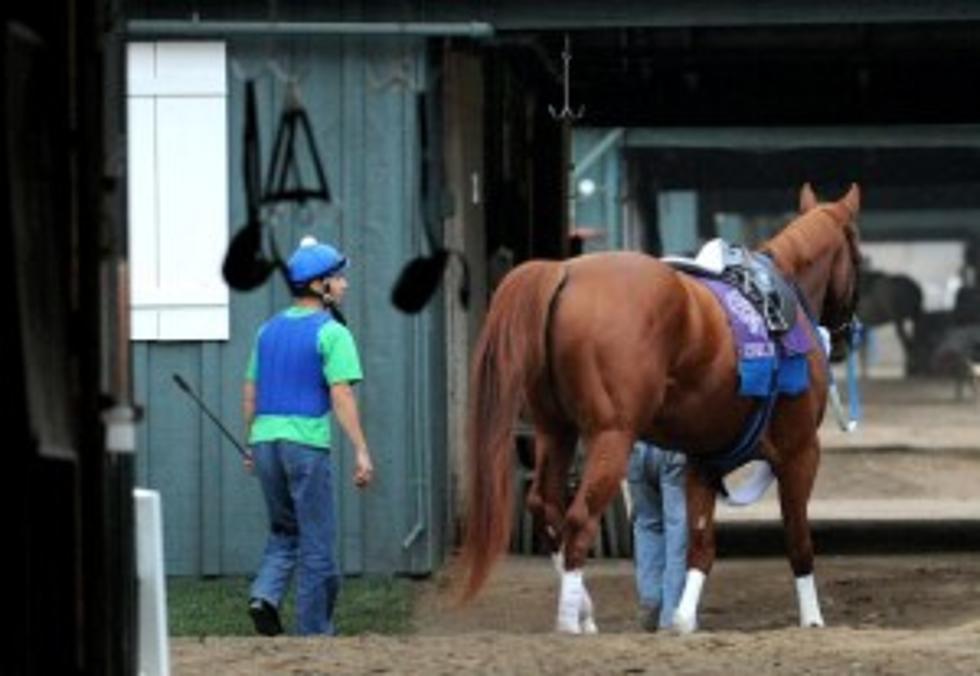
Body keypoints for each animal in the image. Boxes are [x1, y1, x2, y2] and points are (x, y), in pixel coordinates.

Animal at [464, 182, 860, 632]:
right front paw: (812, 620)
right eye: (857, 251)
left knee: (547, 509)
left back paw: (585, 613)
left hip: (555, 431)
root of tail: (564, 271)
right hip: (611, 437)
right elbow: (798, 540)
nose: (844, 336)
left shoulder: (702, 460)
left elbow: (700, 544)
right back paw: (571, 624)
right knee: (579, 519)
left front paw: (684, 620)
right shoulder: (800, 453)